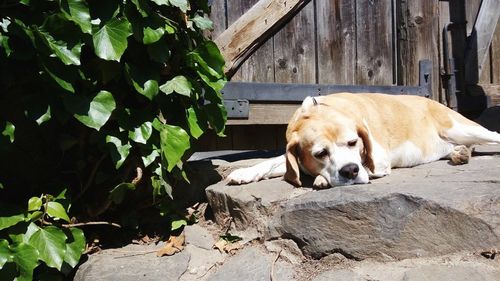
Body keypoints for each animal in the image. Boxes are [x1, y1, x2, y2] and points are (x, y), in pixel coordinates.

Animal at [227, 92, 500, 188]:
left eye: (352, 143)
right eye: (320, 153)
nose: (350, 170)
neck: (316, 112)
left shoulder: (378, 161)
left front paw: (320, 179)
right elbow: (272, 162)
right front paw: (244, 173)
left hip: (461, 128)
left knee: (494, 137)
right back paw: (459, 154)